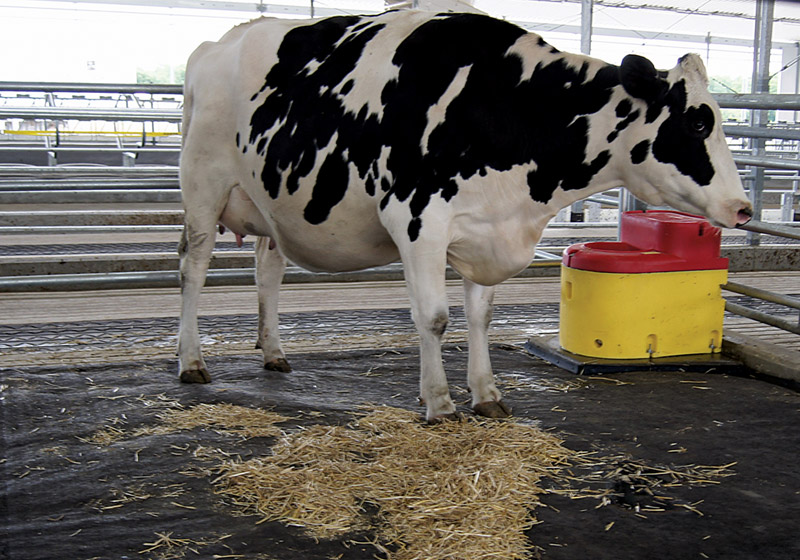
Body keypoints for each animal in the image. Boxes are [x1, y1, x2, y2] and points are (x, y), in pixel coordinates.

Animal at [178, 9, 752, 420]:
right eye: (697, 123)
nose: (744, 208)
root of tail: (216, 44)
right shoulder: (417, 221)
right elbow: (434, 318)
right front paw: (439, 402)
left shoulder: (485, 230)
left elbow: (481, 317)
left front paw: (486, 394)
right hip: (203, 189)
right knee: (192, 269)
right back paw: (191, 361)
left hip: (270, 204)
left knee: (267, 270)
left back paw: (273, 351)